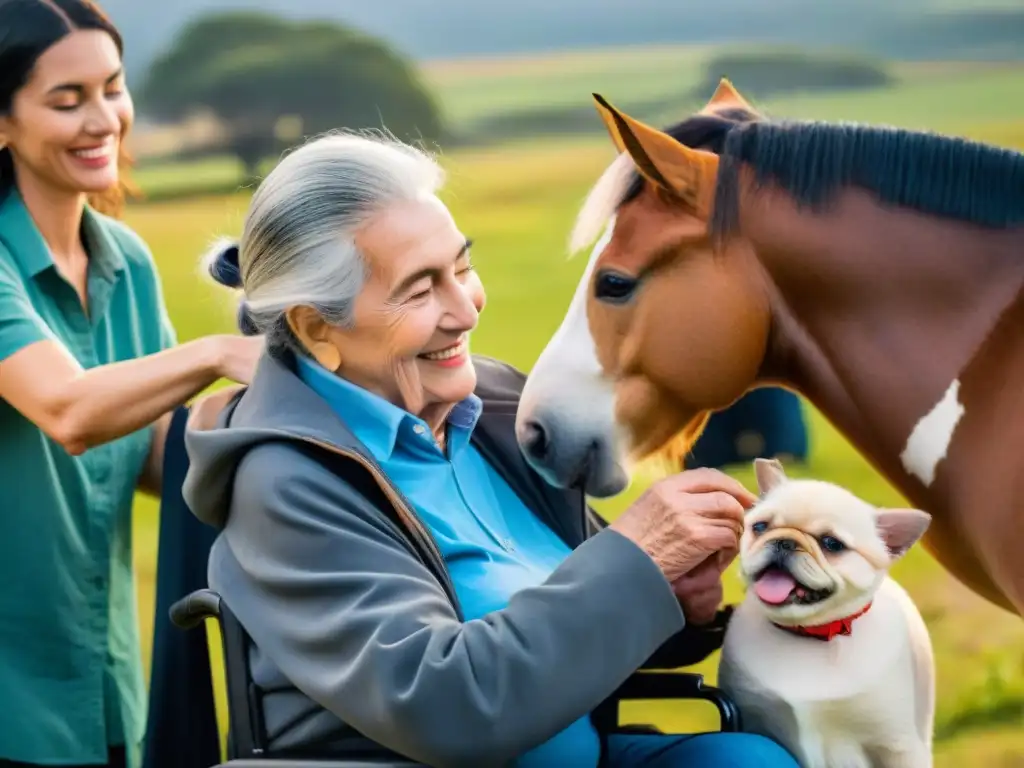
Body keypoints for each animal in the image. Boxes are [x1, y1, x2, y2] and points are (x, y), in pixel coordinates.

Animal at [720, 460, 937, 765]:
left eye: (832, 544)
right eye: (760, 527)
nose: (785, 541)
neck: (810, 634)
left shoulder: (895, 745)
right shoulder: (757, 722)